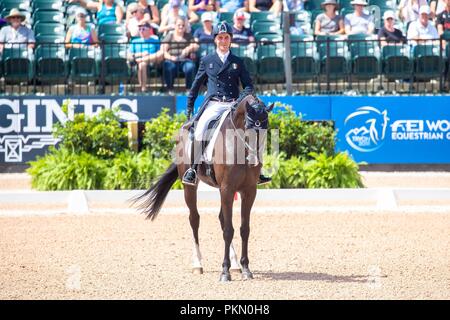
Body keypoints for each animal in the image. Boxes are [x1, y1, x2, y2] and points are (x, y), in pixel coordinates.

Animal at [135, 94, 272, 282]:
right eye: (249, 129)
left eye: (265, 130)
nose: (254, 161)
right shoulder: (227, 189)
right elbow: (228, 230)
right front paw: (224, 272)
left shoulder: (249, 191)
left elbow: (244, 229)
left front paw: (245, 269)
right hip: (190, 187)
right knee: (194, 219)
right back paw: (197, 264)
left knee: (221, 219)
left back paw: (235, 264)